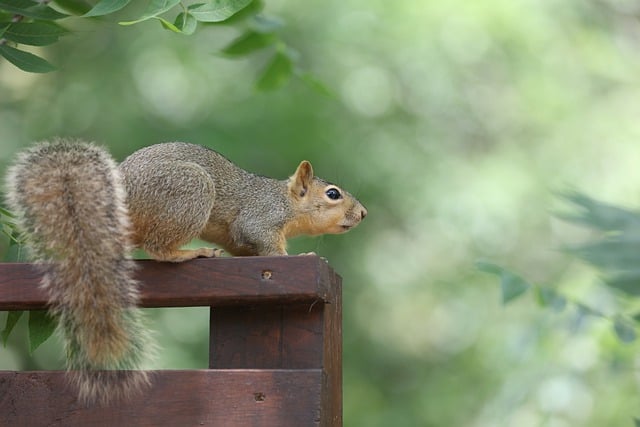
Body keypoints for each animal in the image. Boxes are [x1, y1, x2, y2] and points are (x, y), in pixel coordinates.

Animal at [5, 140, 368, 404]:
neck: (286, 201)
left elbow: (243, 248)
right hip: (188, 193)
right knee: (158, 249)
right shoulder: (259, 218)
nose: (364, 213)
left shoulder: (239, 238)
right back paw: (192, 251)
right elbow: (267, 245)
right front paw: (300, 254)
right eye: (332, 194)